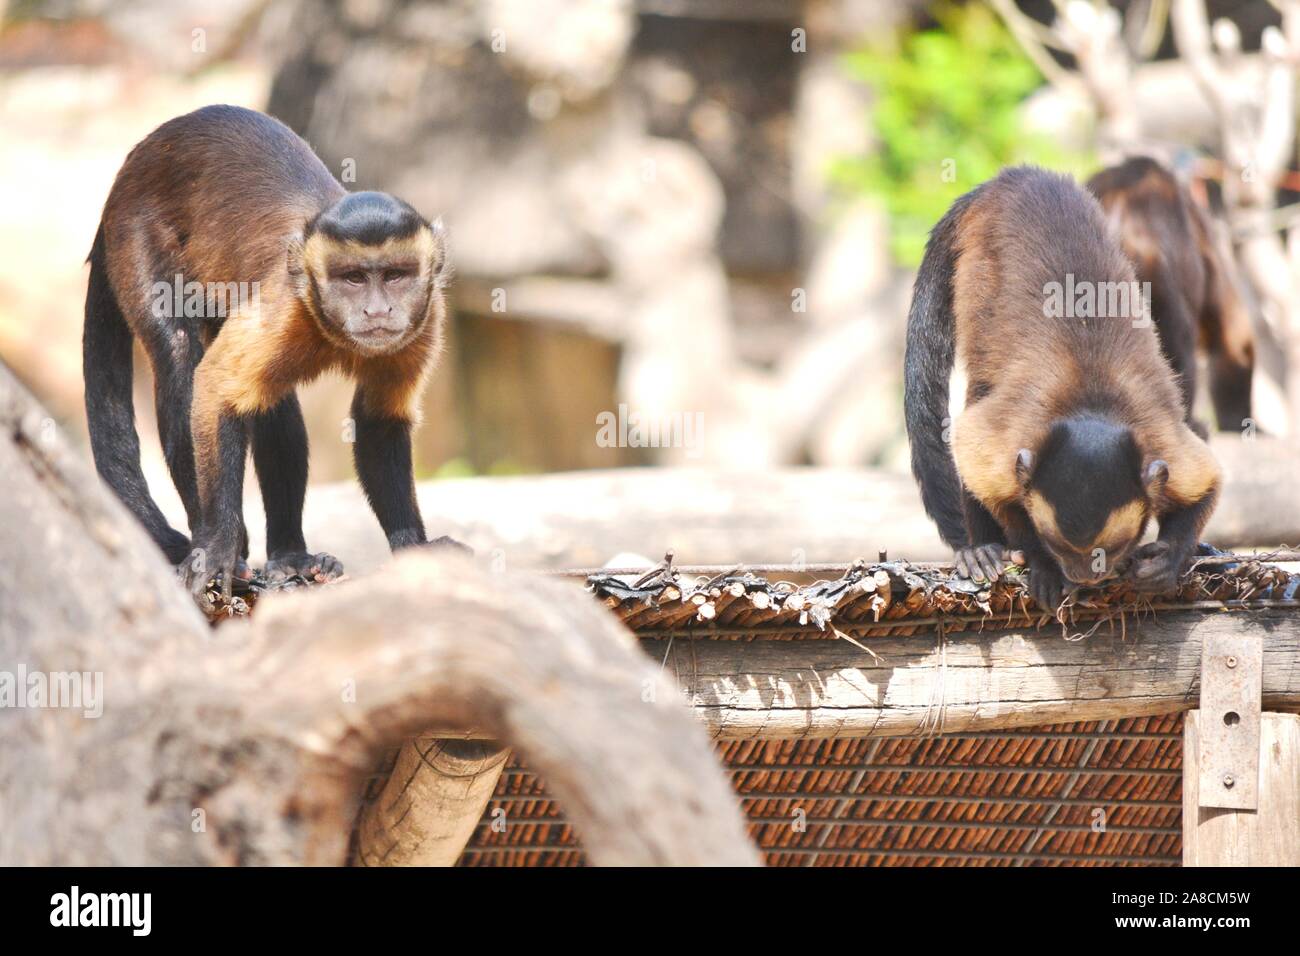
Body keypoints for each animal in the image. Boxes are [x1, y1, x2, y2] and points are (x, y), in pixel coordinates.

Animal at [83, 105, 464, 603]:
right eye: (354, 278)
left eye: (396, 276)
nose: (378, 310)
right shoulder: (282, 303)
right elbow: (215, 390)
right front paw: (218, 548)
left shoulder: (426, 319)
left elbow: (378, 421)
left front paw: (413, 548)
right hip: (134, 230)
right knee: (180, 357)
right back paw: (231, 551)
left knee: (270, 400)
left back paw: (291, 557)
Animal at [904, 166, 1222, 609]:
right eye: (1058, 546)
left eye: (1114, 549)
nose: (1084, 576)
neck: (1091, 406)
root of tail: (1014, 177)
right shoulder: (1011, 440)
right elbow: (975, 456)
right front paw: (1042, 563)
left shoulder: (1161, 441)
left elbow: (1205, 479)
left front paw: (1171, 558)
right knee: (978, 392)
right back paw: (979, 549)